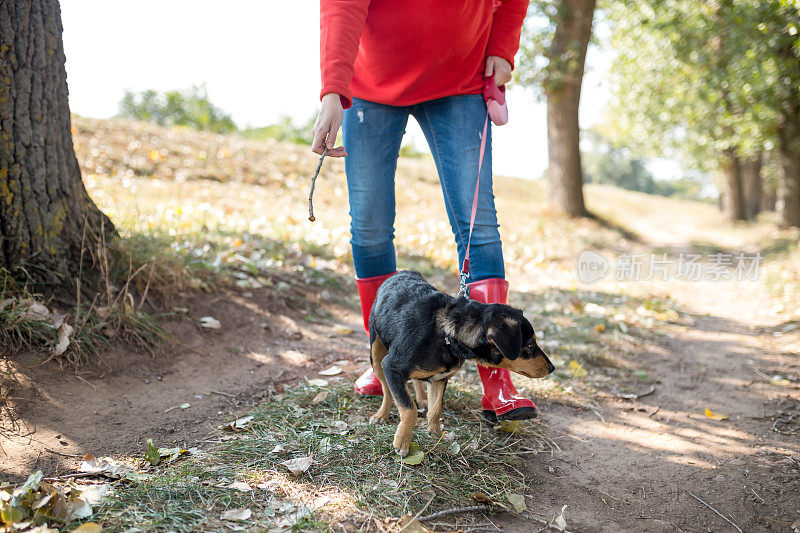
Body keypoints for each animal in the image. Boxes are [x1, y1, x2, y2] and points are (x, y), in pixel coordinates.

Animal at [370, 272, 552, 456]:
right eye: (530, 345)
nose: (552, 368)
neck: (445, 334)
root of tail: (402, 273)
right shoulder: (392, 367)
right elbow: (408, 408)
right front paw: (402, 442)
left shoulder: (439, 379)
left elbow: (436, 409)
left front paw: (436, 435)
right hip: (377, 355)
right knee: (387, 389)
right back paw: (381, 415)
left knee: (414, 382)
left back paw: (421, 399)